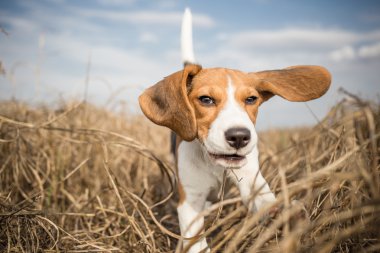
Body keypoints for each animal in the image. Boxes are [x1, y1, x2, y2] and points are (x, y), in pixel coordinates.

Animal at [138, 7, 332, 253]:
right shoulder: (190, 200)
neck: (215, 165)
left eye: (251, 99)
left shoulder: (251, 180)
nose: (239, 137)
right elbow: (196, 241)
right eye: (206, 99)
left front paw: (286, 215)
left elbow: (265, 201)